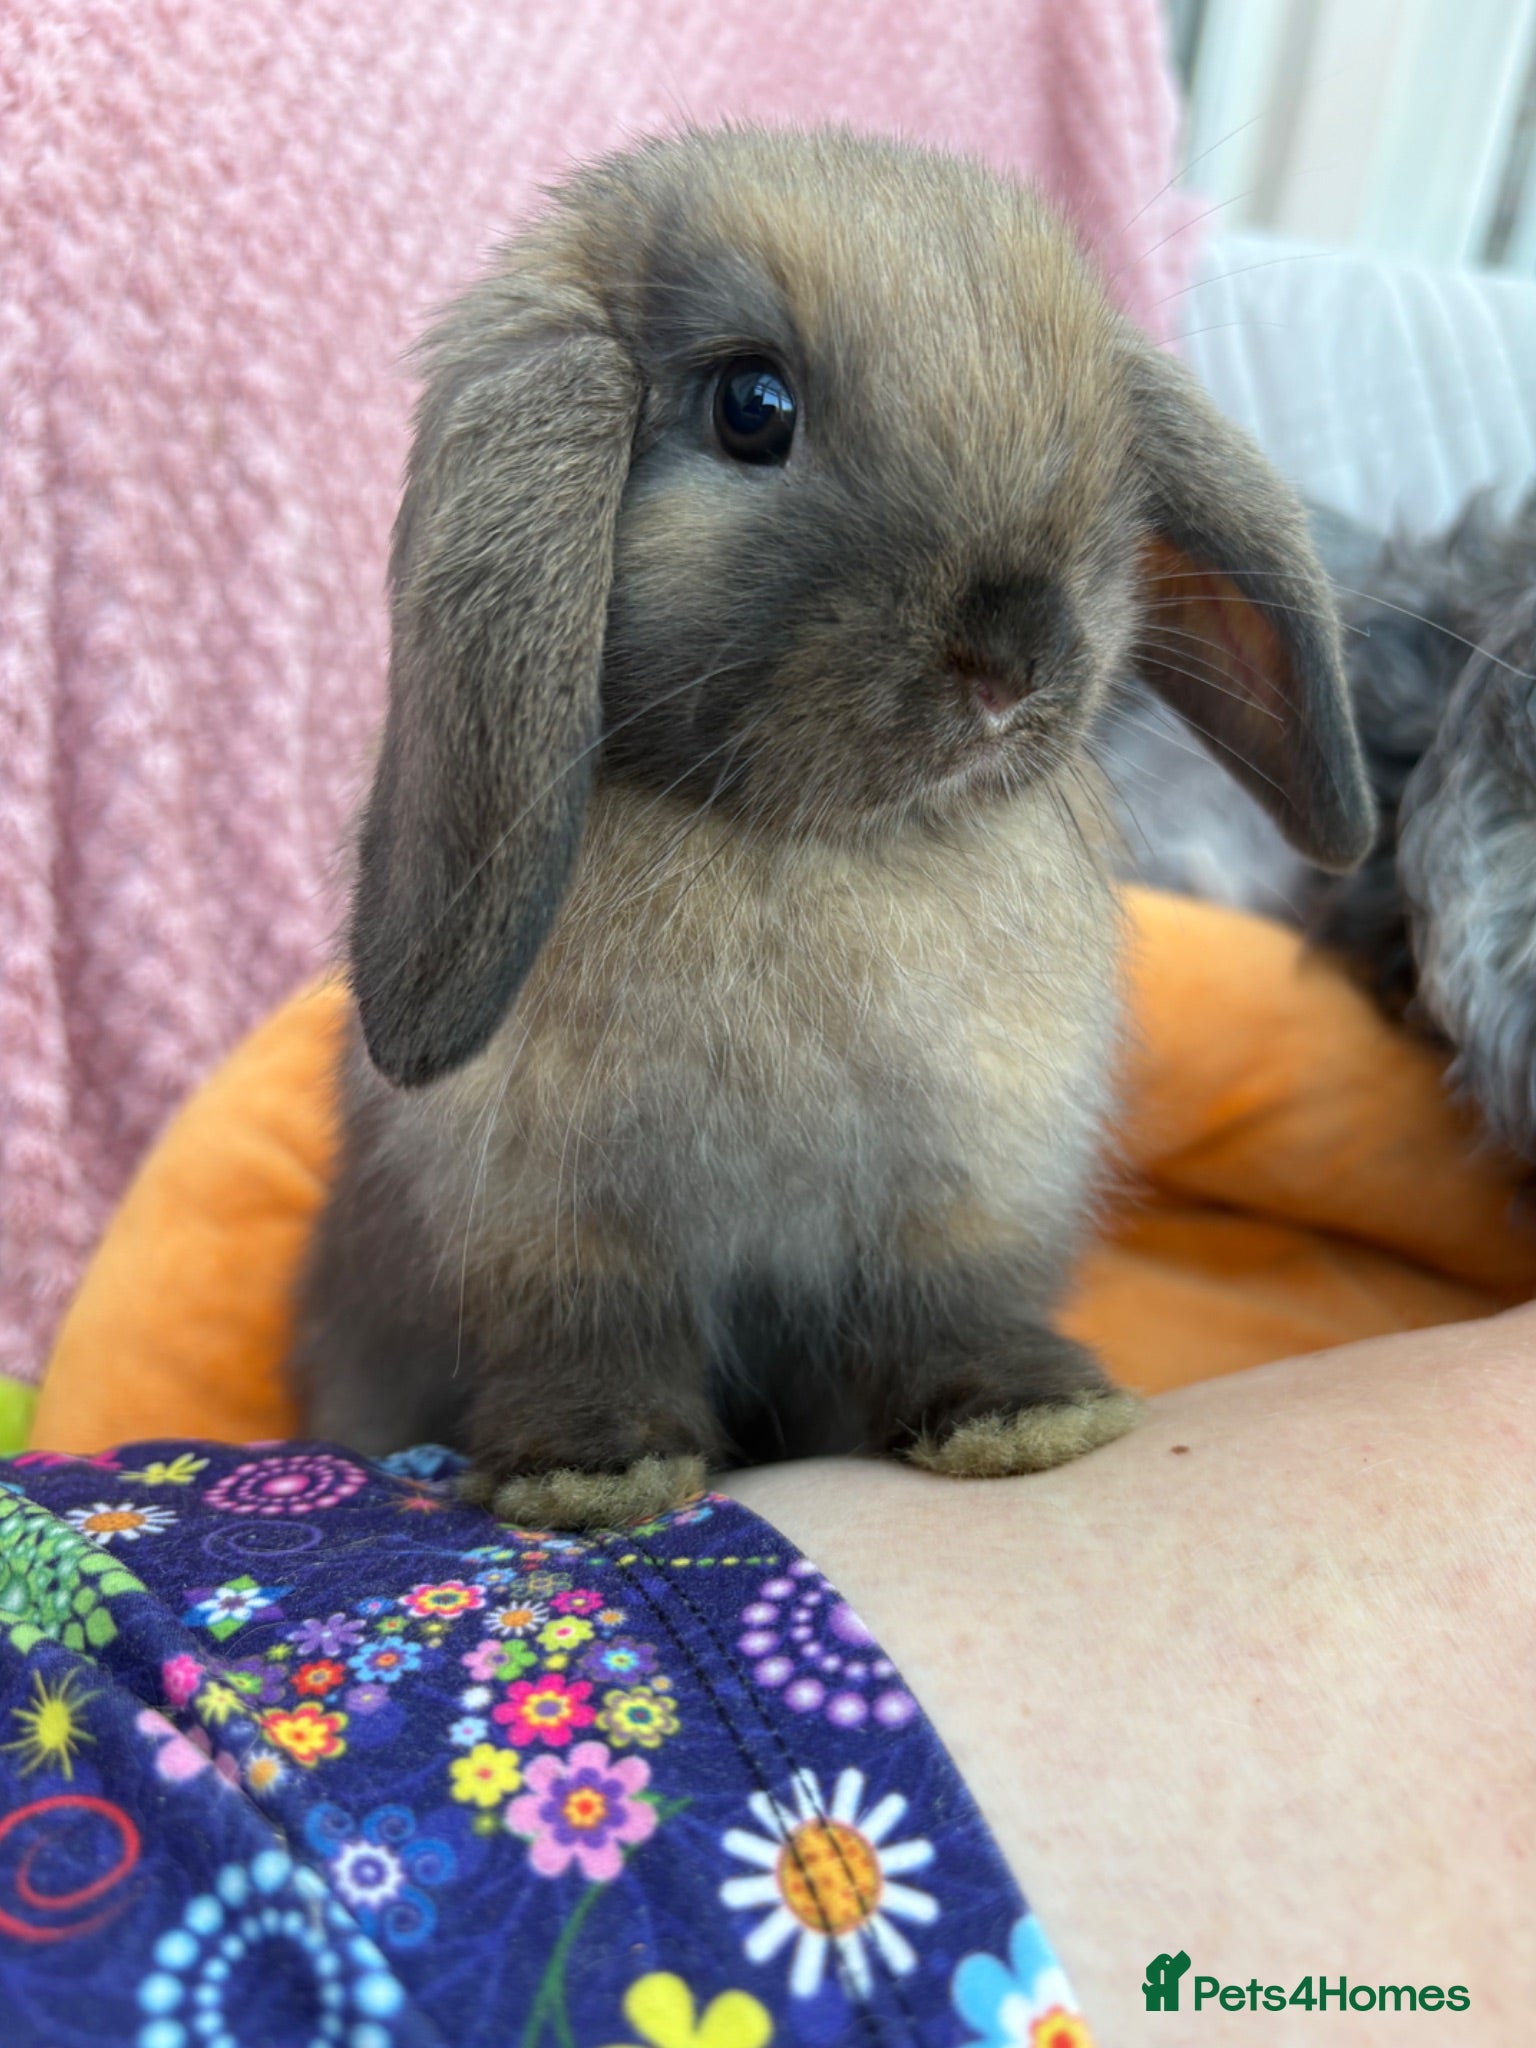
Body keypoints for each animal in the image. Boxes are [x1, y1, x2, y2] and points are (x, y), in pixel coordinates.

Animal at [288, 125, 1372, 1528]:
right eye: (752, 405)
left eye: (1109, 439)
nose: (1011, 654)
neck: (813, 841)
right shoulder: (561, 1236)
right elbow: (592, 1347)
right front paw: (593, 1475)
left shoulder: (962, 1202)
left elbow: (949, 1315)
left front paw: (1034, 1417)